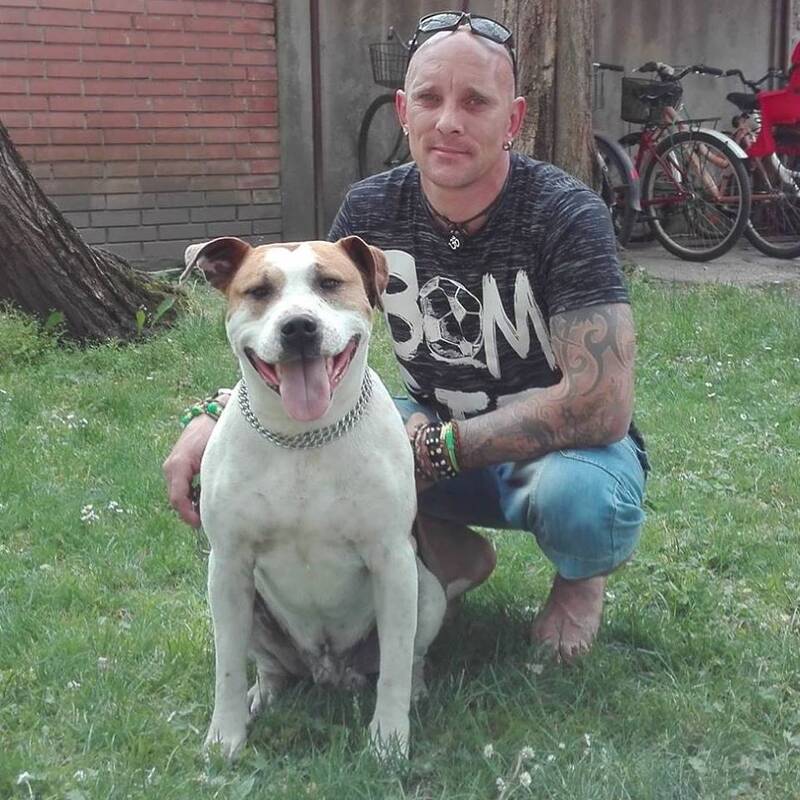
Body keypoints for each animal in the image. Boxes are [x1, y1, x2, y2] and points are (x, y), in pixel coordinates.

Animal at [183, 235, 448, 760]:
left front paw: (389, 740)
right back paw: (262, 694)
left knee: (409, 656)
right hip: (252, 608)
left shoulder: (392, 561)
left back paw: (416, 691)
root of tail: (328, 670)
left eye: (329, 283)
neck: (303, 437)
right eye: (259, 291)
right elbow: (227, 667)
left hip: (428, 590)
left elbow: (394, 668)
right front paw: (225, 737)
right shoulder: (228, 565)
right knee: (269, 665)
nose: (299, 327)